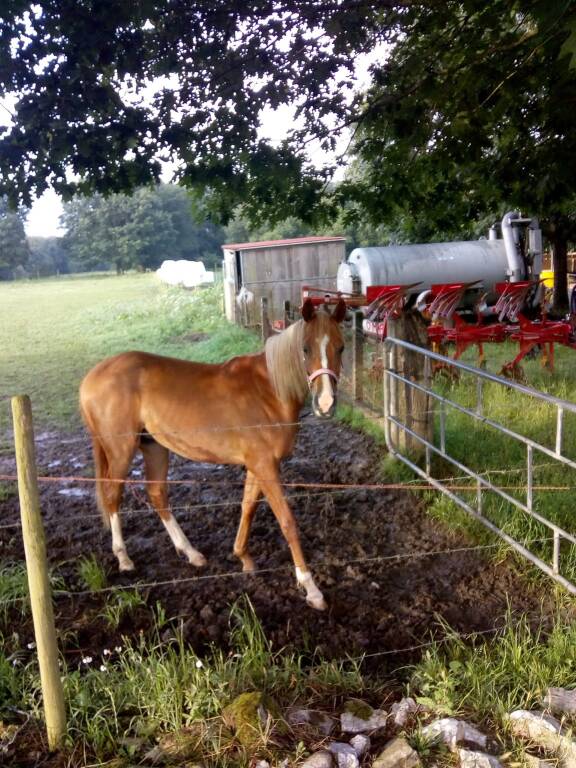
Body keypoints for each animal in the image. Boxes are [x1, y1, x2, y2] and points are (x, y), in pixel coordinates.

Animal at [78, 296, 344, 608]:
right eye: (305, 348)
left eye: (340, 347)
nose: (325, 404)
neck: (269, 390)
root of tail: (91, 377)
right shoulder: (265, 465)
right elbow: (287, 521)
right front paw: (310, 587)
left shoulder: (258, 465)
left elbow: (247, 507)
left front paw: (243, 557)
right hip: (121, 451)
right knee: (112, 496)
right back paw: (124, 558)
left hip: (154, 447)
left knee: (156, 493)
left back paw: (191, 553)